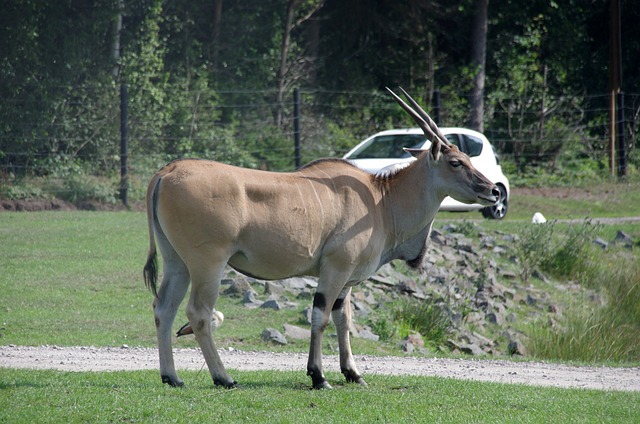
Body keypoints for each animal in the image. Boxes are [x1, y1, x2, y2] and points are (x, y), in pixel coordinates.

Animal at [142, 88, 498, 390]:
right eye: (456, 162)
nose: (494, 190)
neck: (381, 200)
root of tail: (166, 173)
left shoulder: (348, 279)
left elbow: (344, 318)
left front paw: (352, 373)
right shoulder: (335, 270)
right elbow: (321, 316)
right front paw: (318, 376)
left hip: (177, 263)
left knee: (164, 308)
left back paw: (171, 377)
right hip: (208, 264)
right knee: (198, 314)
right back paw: (223, 378)